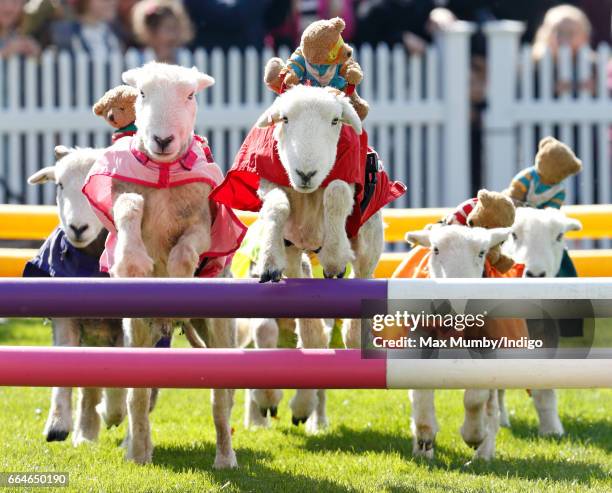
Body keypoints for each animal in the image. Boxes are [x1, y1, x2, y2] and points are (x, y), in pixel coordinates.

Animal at [26, 146, 125, 446]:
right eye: (59, 185)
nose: (77, 228)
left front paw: (111, 413)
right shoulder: (65, 319)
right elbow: (65, 370)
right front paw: (57, 425)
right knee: (88, 385)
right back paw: (85, 434)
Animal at [82, 59, 244, 468]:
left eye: (190, 95)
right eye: (141, 93)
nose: (162, 140)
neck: (163, 173)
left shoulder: (202, 223)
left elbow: (186, 250)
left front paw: (178, 275)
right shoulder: (124, 198)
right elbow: (129, 210)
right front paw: (135, 261)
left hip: (219, 328)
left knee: (221, 400)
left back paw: (225, 457)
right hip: (137, 329)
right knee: (137, 396)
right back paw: (138, 451)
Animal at [241, 87, 390, 430]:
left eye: (336, 120)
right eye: (284, 119)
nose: (306, 173)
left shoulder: (346, 186)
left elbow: (336, 192)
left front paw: (334, 256)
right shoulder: (274, 188)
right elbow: (277, 206)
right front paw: (269, 260)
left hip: (370, 238)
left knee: (362, 277)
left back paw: (353, 337)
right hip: (297, 254)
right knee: (309, 326)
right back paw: (302, 397)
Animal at [404, 225, 512, 460]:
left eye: (482, 253)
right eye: (435, 250)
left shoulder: (487, 351)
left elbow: (476, 397)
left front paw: (473, 435)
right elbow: (420, 391)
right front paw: (425, 435)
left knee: (492, 409)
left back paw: (483, 453)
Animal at [502, 206, 584, 436]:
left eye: (559, 236)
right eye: (513, 234)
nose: (536, 274)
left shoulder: (547, 334)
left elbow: (544, 387)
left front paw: (551, 430)